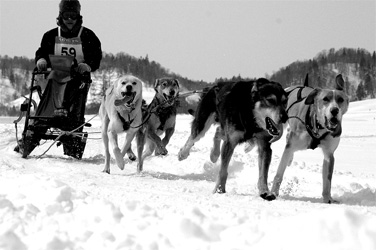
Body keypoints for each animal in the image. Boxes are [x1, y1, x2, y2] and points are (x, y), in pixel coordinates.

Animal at [270, 74, 350, 203]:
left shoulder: (329, 154)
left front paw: (328, 198)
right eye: (325, 99)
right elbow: (279, 174)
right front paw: (273, 193)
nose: (334, 110)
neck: (317, 126)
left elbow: (327, 181)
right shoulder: (291, 145)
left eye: (340, 100)